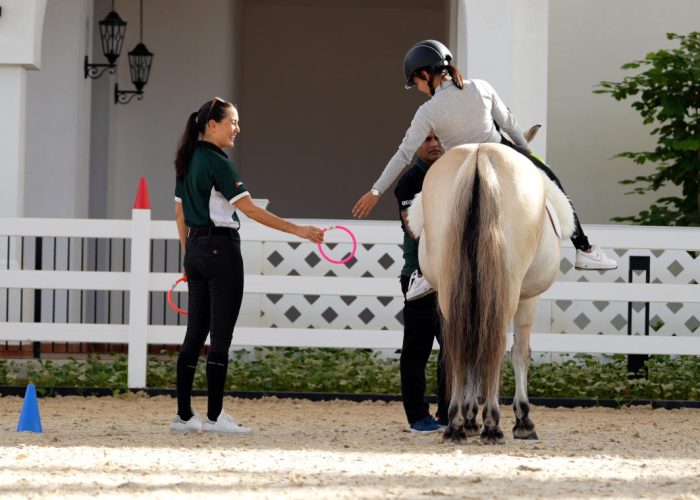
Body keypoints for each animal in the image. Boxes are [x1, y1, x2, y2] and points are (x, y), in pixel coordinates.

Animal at [404, 142, 576, 446]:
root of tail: (479, 155)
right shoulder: (527, 298)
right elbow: (520, 352)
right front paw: (522, 420)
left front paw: (470, 417)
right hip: (506, 293)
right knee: (495, 348)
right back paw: (493, 424)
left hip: (451, 292)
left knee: (458, 348)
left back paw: (456, 424)